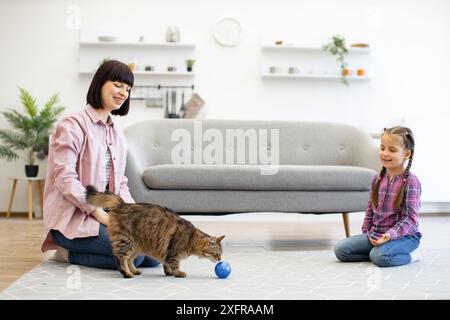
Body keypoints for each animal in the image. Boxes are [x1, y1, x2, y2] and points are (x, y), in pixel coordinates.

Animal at [85, 185, 225, 278]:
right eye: (216, 254)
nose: (220, 260)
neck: (191, 238)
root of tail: (123, 204)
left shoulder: (165, 251)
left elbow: (166, 263)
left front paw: (168, 273)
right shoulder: (173, 252)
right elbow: (175, 264)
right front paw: (178, 273)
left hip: (137, 246)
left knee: (129, 259)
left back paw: (134, 271)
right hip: (127, 241)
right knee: (120, 258)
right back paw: (127, 274)